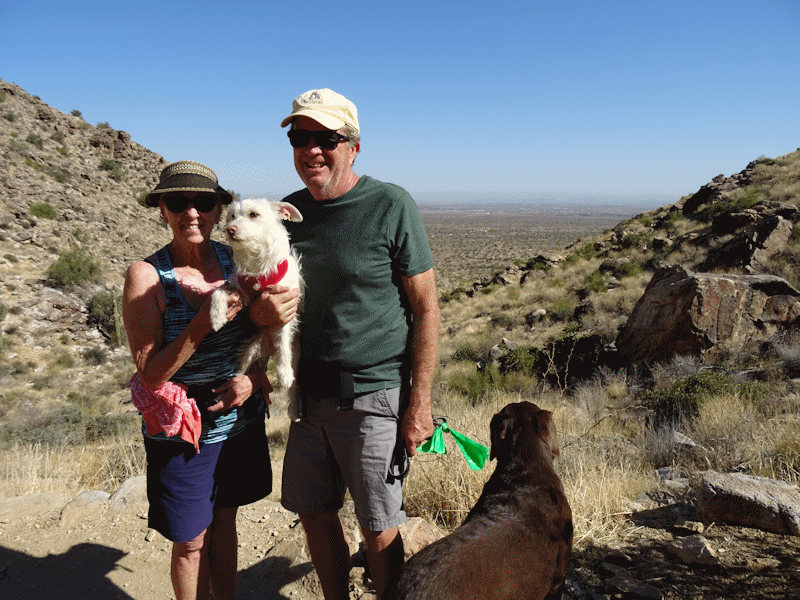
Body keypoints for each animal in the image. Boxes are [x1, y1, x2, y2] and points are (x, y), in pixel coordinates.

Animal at [209, 197, 304, 404]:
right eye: (232, 216)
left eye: (253, 214)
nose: (230, 229)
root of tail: (267, 348)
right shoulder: (239, 289)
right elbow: (218, 291)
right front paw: (216, 316)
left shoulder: (285, 307)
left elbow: (284, 343)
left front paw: (284, 373)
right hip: (248, 352)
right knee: (239, 373)